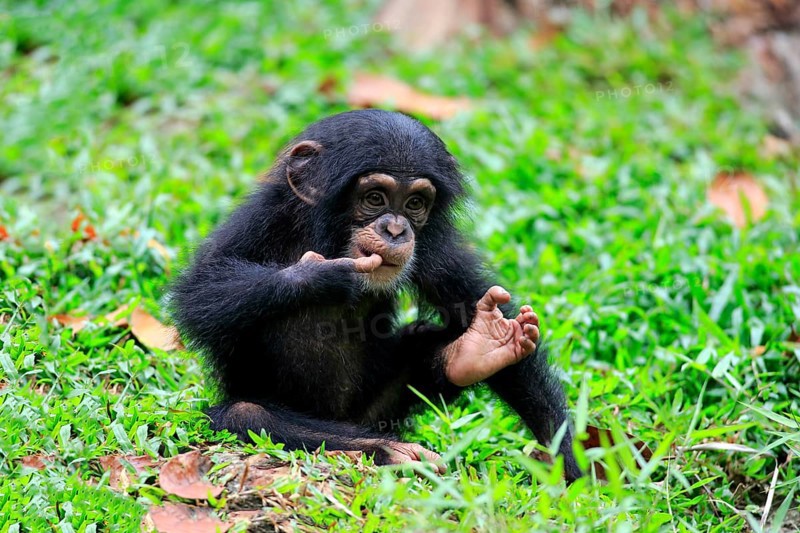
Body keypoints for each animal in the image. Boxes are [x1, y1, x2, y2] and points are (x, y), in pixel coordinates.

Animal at [170, 109, 581, 481]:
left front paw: (565, 464)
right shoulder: (262, 219)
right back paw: (391, 449)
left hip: (374, 412)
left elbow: (472, 308)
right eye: (374, 197)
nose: (396, 229)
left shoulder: (436, 248)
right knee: (248, 415)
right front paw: (325, 275)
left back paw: (477, 350)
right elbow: (200, 292)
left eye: (415, 203)